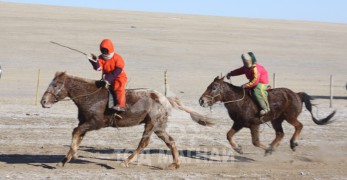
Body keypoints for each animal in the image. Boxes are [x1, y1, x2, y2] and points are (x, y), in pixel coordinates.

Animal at [40, 71, 215, 169]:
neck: (91, 96)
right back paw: (175, 164)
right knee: (169, 141)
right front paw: (65, 160)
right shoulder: (85, 123)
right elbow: (77, 135)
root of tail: (165, 99)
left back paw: (126, 162)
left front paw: (73, 155)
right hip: (157, 127)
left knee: (145, 143)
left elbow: (75, 133)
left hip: (153, 125)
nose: (43, 101)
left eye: (56, 85)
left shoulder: (95, 124)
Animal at [198, 76, 338, 155]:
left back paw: (292, 144)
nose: (201, 101)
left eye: (214, 87)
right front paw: (238, 149)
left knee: (299, 126)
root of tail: (297, 94)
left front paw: (268, 149)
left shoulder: (254, 125)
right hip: (276, 120)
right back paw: (274, 147)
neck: (239, 100)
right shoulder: (239, 123)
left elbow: (255, 142)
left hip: (290, 117)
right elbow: (228, 135)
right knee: (280, 133)